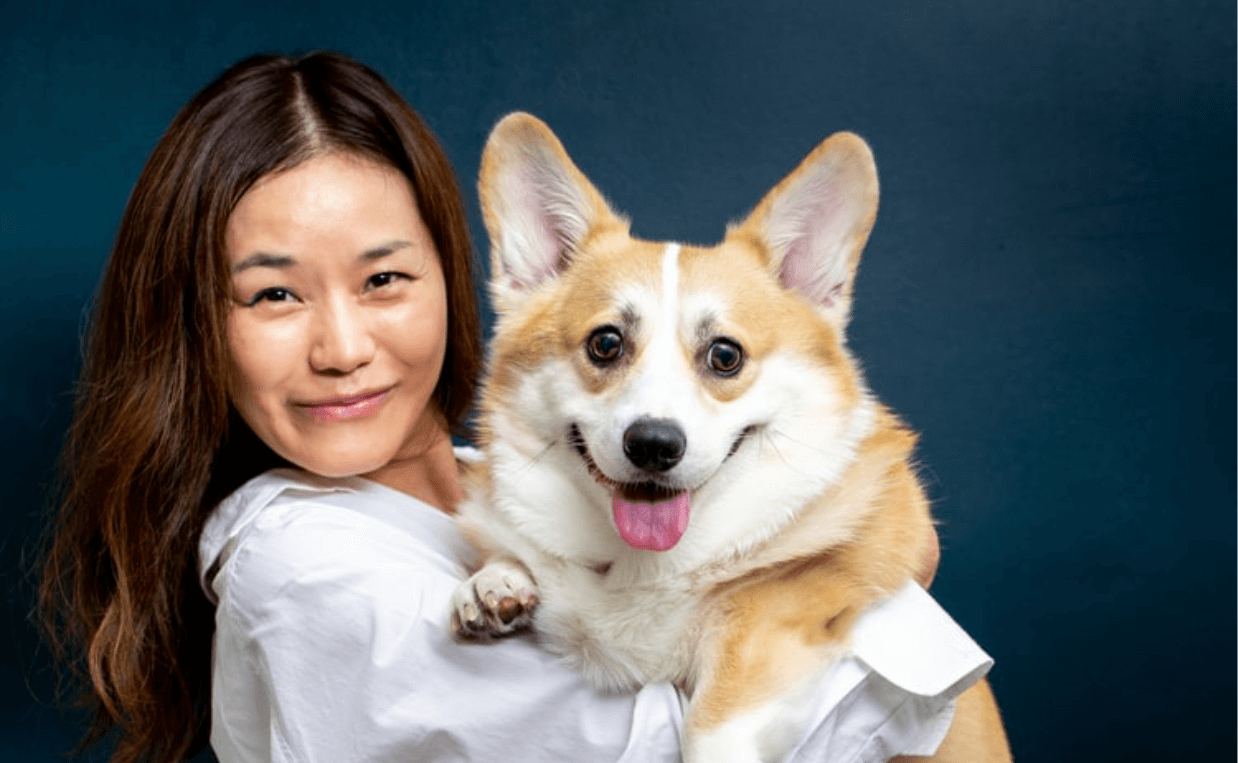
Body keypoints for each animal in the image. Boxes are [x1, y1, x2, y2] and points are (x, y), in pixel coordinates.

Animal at [450, 114, 1010, 763]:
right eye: (605, 343)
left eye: (725, 355)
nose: (654, 445)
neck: (645, 566)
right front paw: (495, 583)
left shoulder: (775, 622)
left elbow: (709, 727)